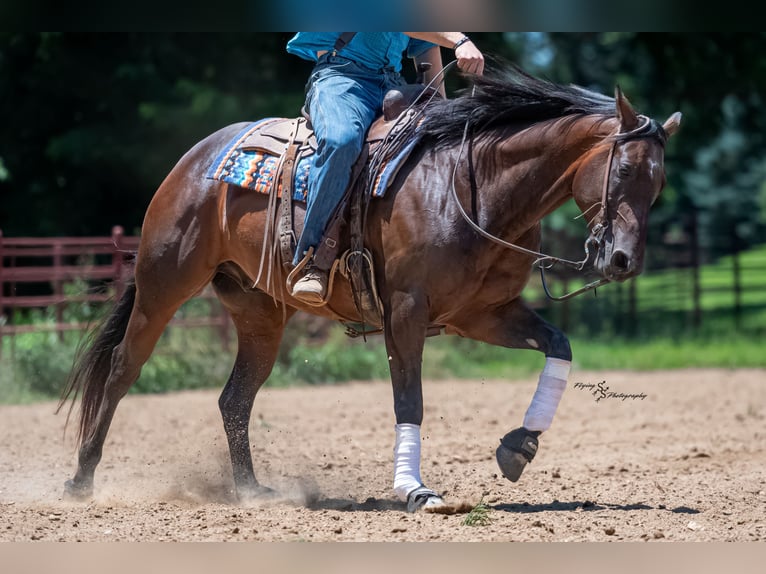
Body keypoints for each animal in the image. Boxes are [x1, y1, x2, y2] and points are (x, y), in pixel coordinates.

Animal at [58, 65, 681, 512]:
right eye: (625, 171)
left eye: (660, 185)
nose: (624, 261)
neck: (469, 185)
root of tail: (194, 159)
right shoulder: (405, 312)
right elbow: (411, 399)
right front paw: (416, 491)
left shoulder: (485, 314)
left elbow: (559, 346)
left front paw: (518, 446)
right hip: (163, 285)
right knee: (121, 370)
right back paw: (81, 481)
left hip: (260, 312)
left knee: (234, 399)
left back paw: (252, 492)